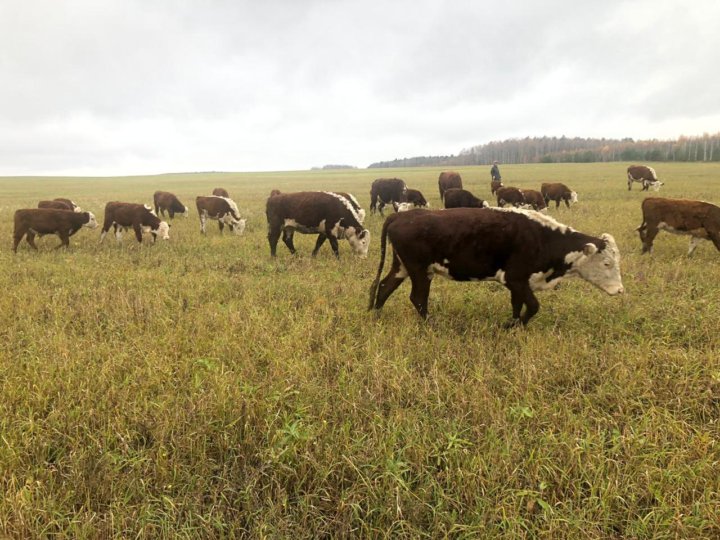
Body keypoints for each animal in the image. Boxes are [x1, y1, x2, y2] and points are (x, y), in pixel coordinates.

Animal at [368, 206, 620, 324]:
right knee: (418, 298)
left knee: (384, 287)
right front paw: (514, 326)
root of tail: (401, 216)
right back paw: (431, 324)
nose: (620, 290)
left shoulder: (518, 284)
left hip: (402, 267)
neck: (542, 237)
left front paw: (514, 324)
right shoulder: (515, 279)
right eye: (607, 263)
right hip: (420, 271)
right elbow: (533, 306)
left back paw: (376, 316)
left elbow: (517, 305)